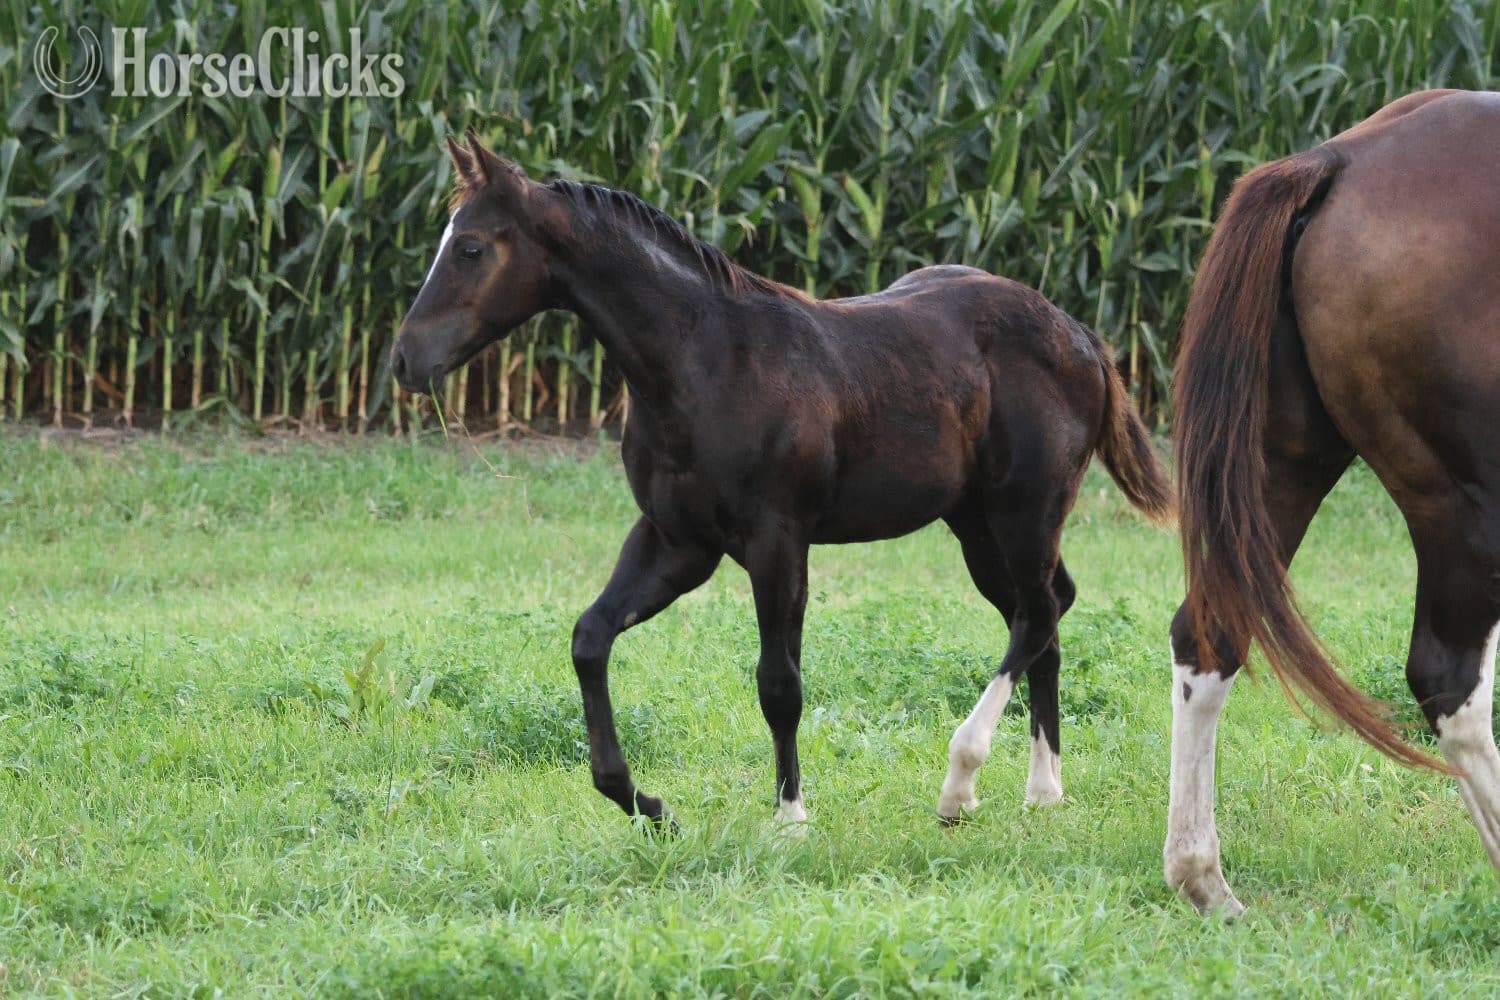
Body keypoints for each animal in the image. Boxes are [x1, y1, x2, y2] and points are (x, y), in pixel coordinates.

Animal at [392, 133, 1172, 828]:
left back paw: (959, 785)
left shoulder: (777, 540)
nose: (403, 359)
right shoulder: (677, 541)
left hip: (1024, 511)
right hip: (977, 525)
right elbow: (590, 638)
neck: (702, 362)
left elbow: (779, 682)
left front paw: (791, 816)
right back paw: (1043, 792)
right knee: (1045, 614)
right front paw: (649, 806)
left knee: (1037, 613)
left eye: (471, 248)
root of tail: (1082, 337)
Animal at [1169, 89, 1500, 915]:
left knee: (1209, 634)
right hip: (1463, 512)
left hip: (1281, 465)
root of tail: (1341, 160)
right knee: (1447, 682)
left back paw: (1201, 876)